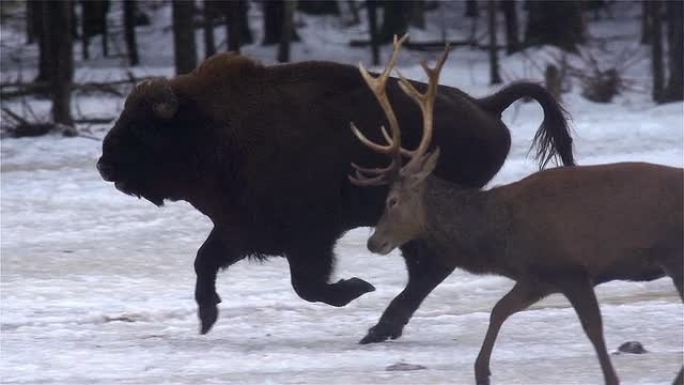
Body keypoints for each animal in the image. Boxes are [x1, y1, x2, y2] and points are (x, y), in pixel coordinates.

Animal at [97, 50, 572, 342]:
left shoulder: (308, 236)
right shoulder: (239, 230)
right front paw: (207, 318)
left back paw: (379, 327)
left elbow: (307, 285)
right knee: (426, 271)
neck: (210, 126)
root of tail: (487, 107)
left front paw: (356, 288)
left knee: (432, 267)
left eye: (141, 127)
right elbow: (204, 261)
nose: (104, 165)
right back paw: (383, 328)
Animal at [350, 36, 680, 384]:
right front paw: (482, 372)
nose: (373, 242)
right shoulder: (538, 277)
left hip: (674, 253)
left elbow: (592, 328)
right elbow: (499, 310)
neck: (501, 237)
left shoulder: (569, 268)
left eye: (392, 200)